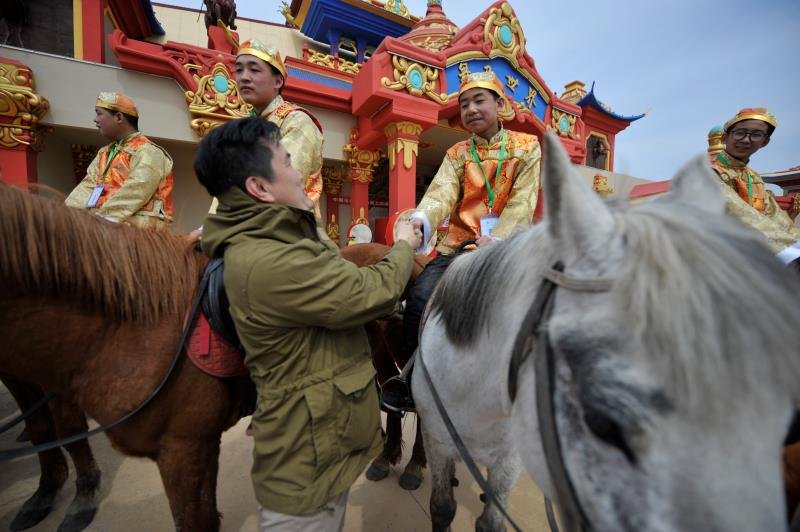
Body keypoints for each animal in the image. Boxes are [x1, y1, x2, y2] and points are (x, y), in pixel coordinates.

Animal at [0, 184, 422, 532]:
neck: (140, 321)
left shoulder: (183, 445)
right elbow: (45, 427)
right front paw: (46, 494)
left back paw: (413, 466)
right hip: (380, 350)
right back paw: (384, 455)